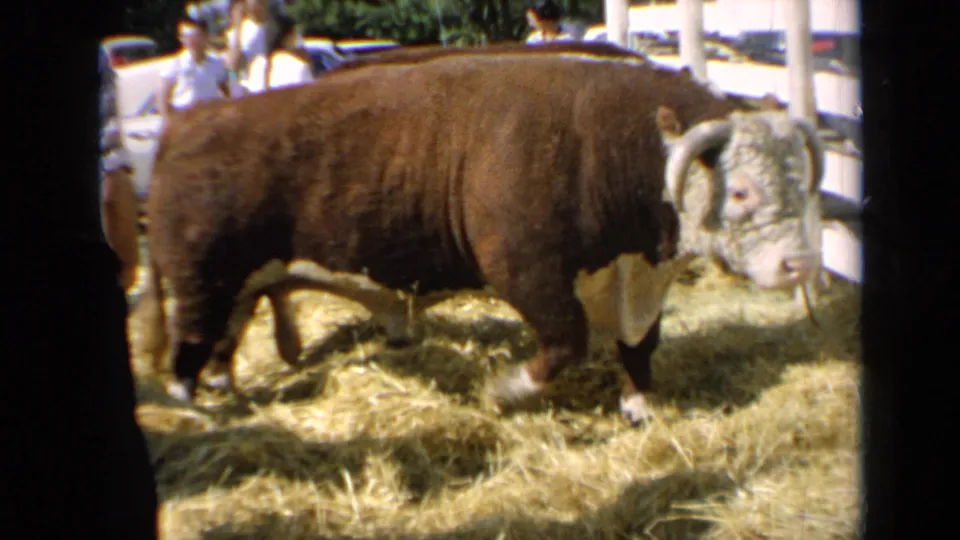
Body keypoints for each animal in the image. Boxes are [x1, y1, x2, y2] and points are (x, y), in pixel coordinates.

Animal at [139, 52, 825, 424]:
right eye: (742, 192)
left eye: (804, 184)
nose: (800, 265)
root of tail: (190, 119)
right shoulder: (526, 270)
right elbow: (566, 344)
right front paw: (502, 390)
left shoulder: (631, 282)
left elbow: (638, 349)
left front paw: (639, 408)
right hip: (199, 282)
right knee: (186, 356)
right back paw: (197, 417)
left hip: (239, 285)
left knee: (222, 342)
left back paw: (227, 394)